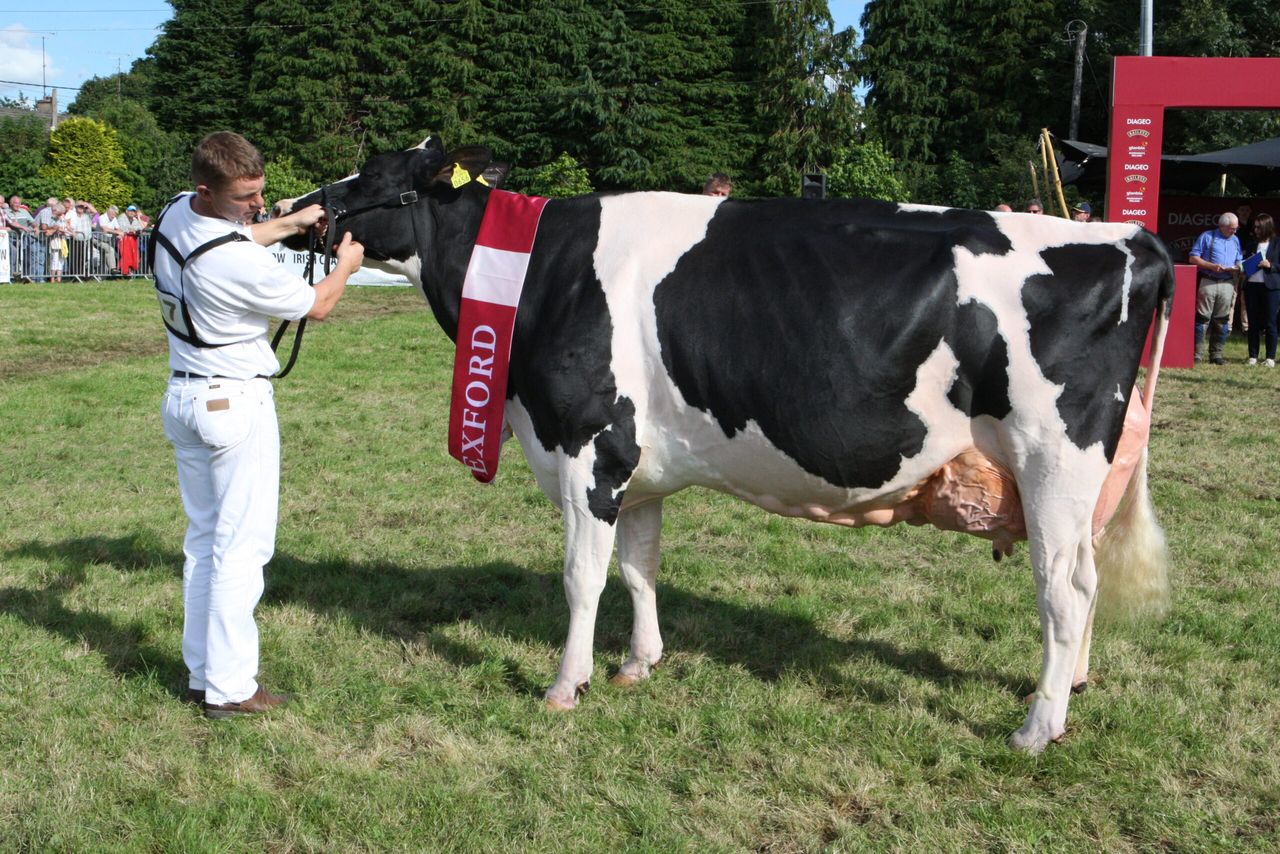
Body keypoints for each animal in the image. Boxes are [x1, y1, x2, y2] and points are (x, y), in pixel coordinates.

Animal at [279, 137, 1174, 752]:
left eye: (374, 178)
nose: (302, 212)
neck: (538, 274)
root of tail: (1132, 240)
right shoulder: (637, 466)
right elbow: (639, 567)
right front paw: (639, 663)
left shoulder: (587, 448)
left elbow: (581, 578)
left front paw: (567, 684)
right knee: (1086, 584)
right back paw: (1071, 690)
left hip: (1055, 462)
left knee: (1065, 590)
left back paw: (1036, 727)